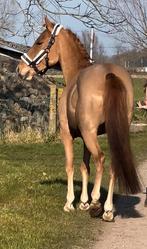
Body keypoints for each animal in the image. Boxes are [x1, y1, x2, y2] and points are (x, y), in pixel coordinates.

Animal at [16, 16, 141, 221]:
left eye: (39, 42)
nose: (21, 69)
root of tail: (110, 73)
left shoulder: (68, 135)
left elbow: (70, 165)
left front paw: (71, 203)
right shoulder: (85, 137)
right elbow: (84, 166)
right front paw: (83, 201)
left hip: (90, 134)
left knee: (101, 159)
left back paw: (98, 203)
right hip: (112, 133)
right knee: (112, 163)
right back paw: (108, 209)